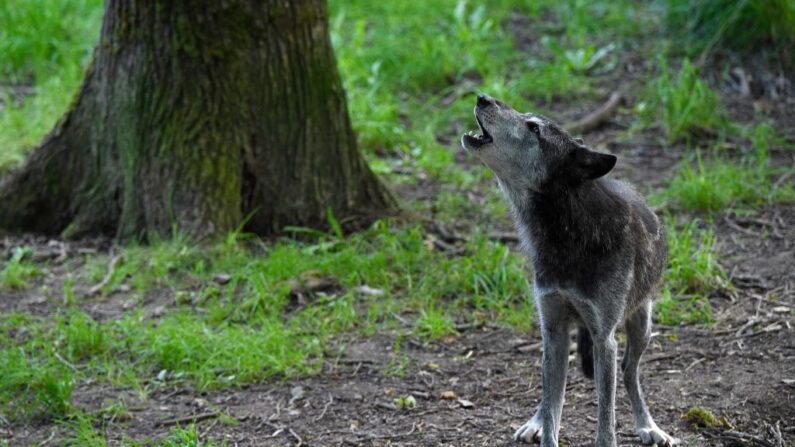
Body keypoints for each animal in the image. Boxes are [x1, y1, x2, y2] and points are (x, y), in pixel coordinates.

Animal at [464, 93, 680, 446]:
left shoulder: (604, 339)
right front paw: (543, 427)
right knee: (553, 395)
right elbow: (554, 407)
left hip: (641, 327)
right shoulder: (552, 327)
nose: (483, 97)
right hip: (558, 340)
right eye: (526, 117)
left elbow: (606, 420)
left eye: (533, 128)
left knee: (629, 373)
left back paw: (649, 426)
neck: (564, 233)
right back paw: (535, 422)